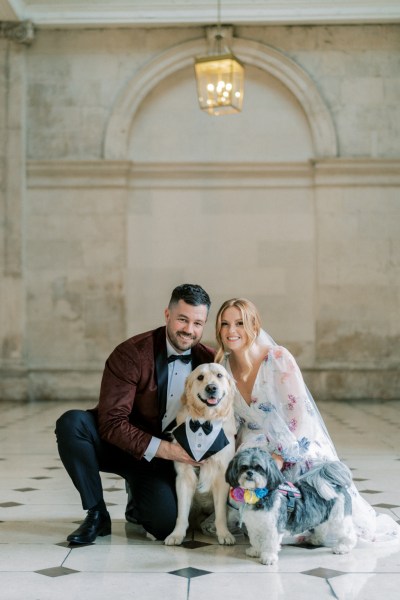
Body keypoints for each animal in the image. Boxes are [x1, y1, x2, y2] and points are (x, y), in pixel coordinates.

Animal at [225, 448, 356, 564]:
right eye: (243, 467)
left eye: (259, 468)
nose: (250, 473)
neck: (258, 495)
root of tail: (335, 485)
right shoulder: (254, 526)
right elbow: (256, 540)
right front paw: (255, 551)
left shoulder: (273, 527)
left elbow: (270, 543)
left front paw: (268, 557)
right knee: (322, 527)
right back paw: (316, 539)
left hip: (339, 518)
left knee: (348, 533)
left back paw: (343, 547)